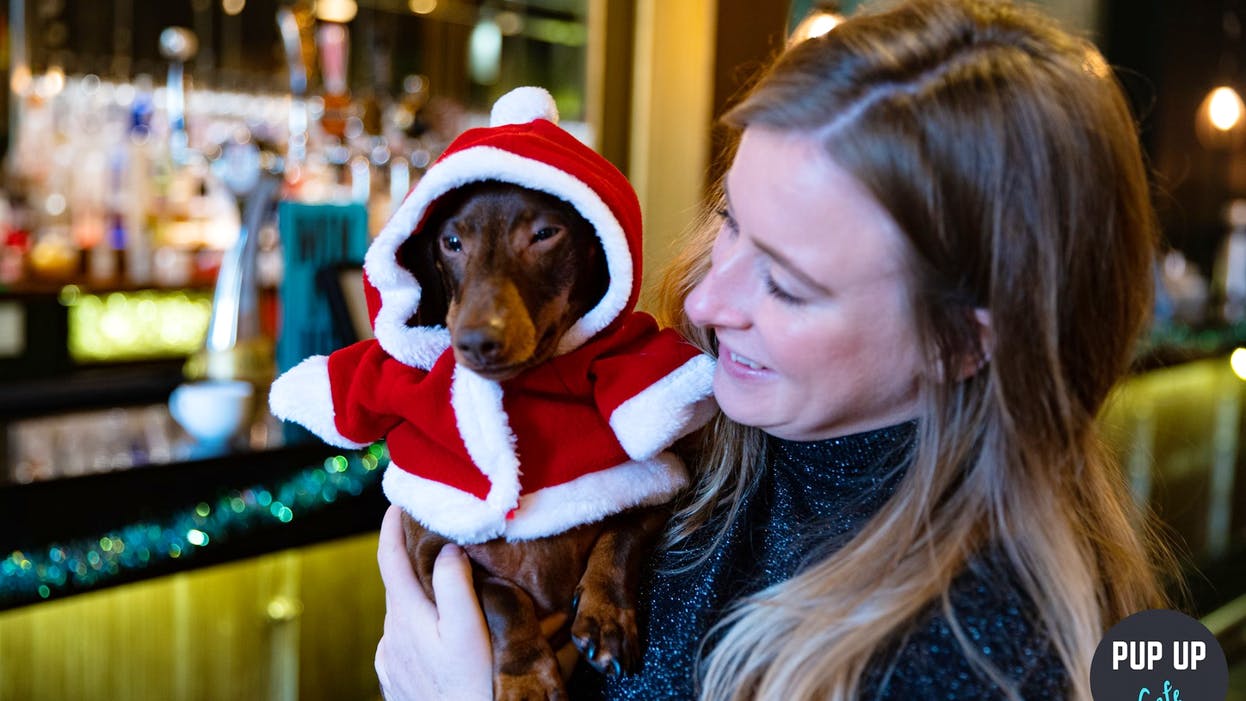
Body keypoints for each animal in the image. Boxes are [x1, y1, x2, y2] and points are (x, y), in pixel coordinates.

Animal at [398, 183, 672, 701]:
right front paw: (528, 677)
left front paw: (605, 615)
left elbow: (620, 537)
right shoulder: (431, 555)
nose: (477, 341)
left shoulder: (656, 490)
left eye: (545, 234)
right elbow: (500, 595)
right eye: (452, 242)